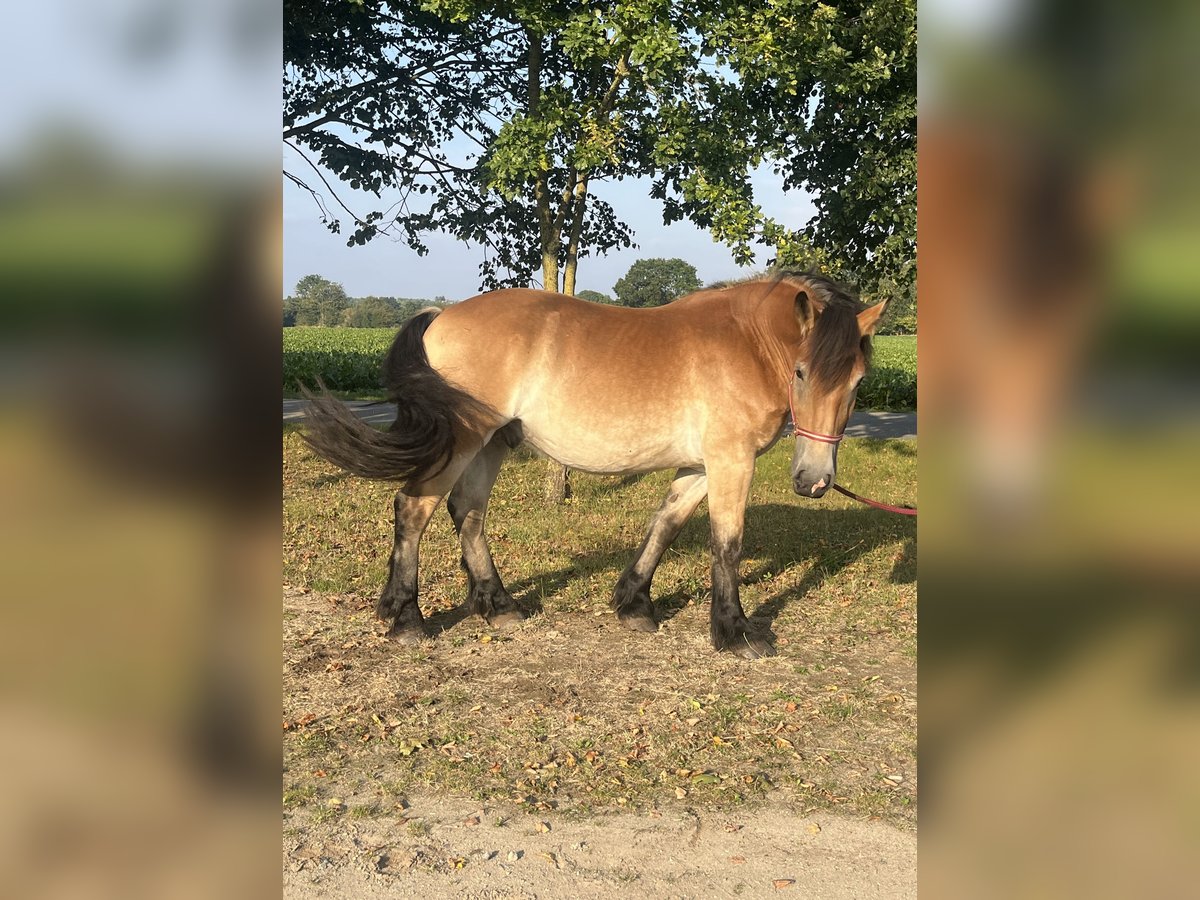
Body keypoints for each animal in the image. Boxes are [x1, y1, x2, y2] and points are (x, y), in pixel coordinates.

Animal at [304, 271, 888, 657]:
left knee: (467, 512)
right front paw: (734, 631)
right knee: (414, 508)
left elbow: (666, 524)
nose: (814, 481)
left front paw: (634, 604)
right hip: (466, 437)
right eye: (801, 372)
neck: (746, 344)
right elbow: (727, 544)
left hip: (492, 442)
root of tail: (439, 315)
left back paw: (500, 605)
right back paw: (406, 618)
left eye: (858, 381)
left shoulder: (700, 466)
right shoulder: (731, 462)